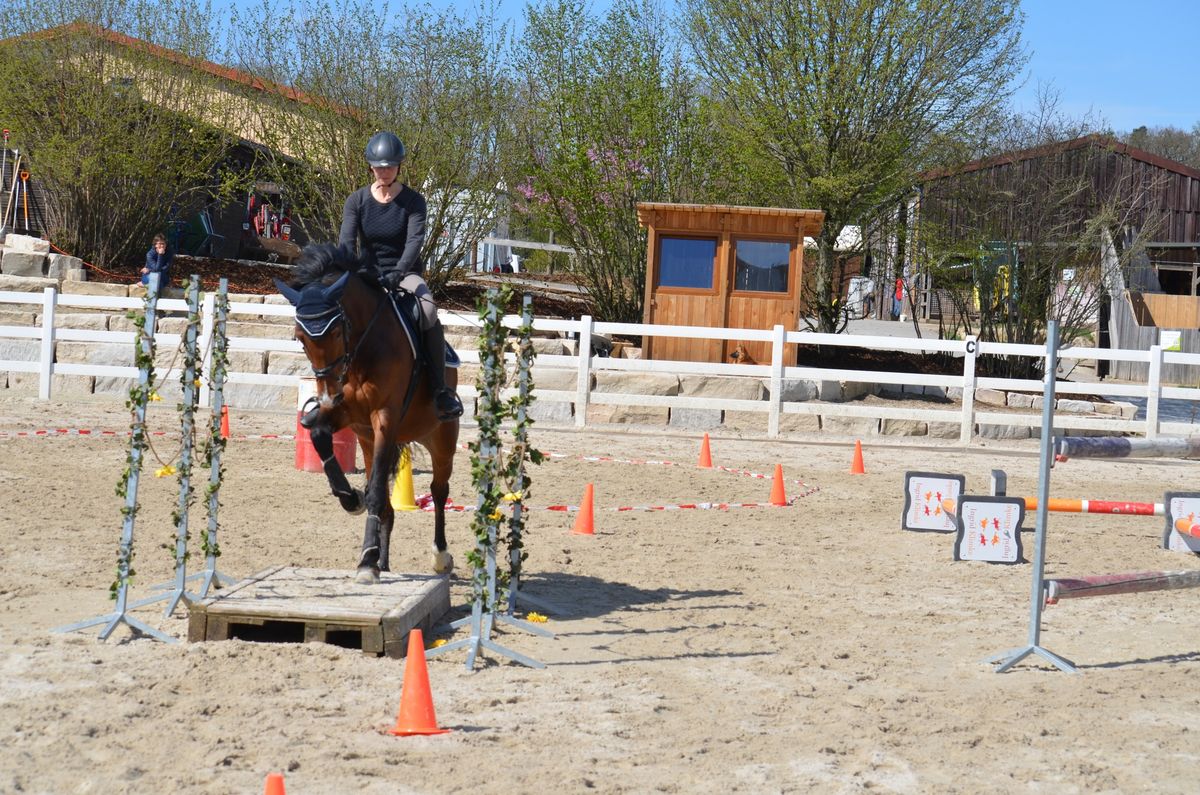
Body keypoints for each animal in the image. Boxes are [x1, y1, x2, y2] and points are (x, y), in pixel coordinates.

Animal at [274, 242, 458, 586]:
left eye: (336, 332)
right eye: (299, 338)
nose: (326, 395)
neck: (362, 351)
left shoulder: (384, 417)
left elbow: (377, 494)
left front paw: (366, 563)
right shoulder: (348, 417)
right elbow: (319, 436)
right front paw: (350, 499)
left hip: (441, 439)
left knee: (438, 492)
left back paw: (439, 556)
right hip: (369, 440)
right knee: (385, 499)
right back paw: (381, 561)